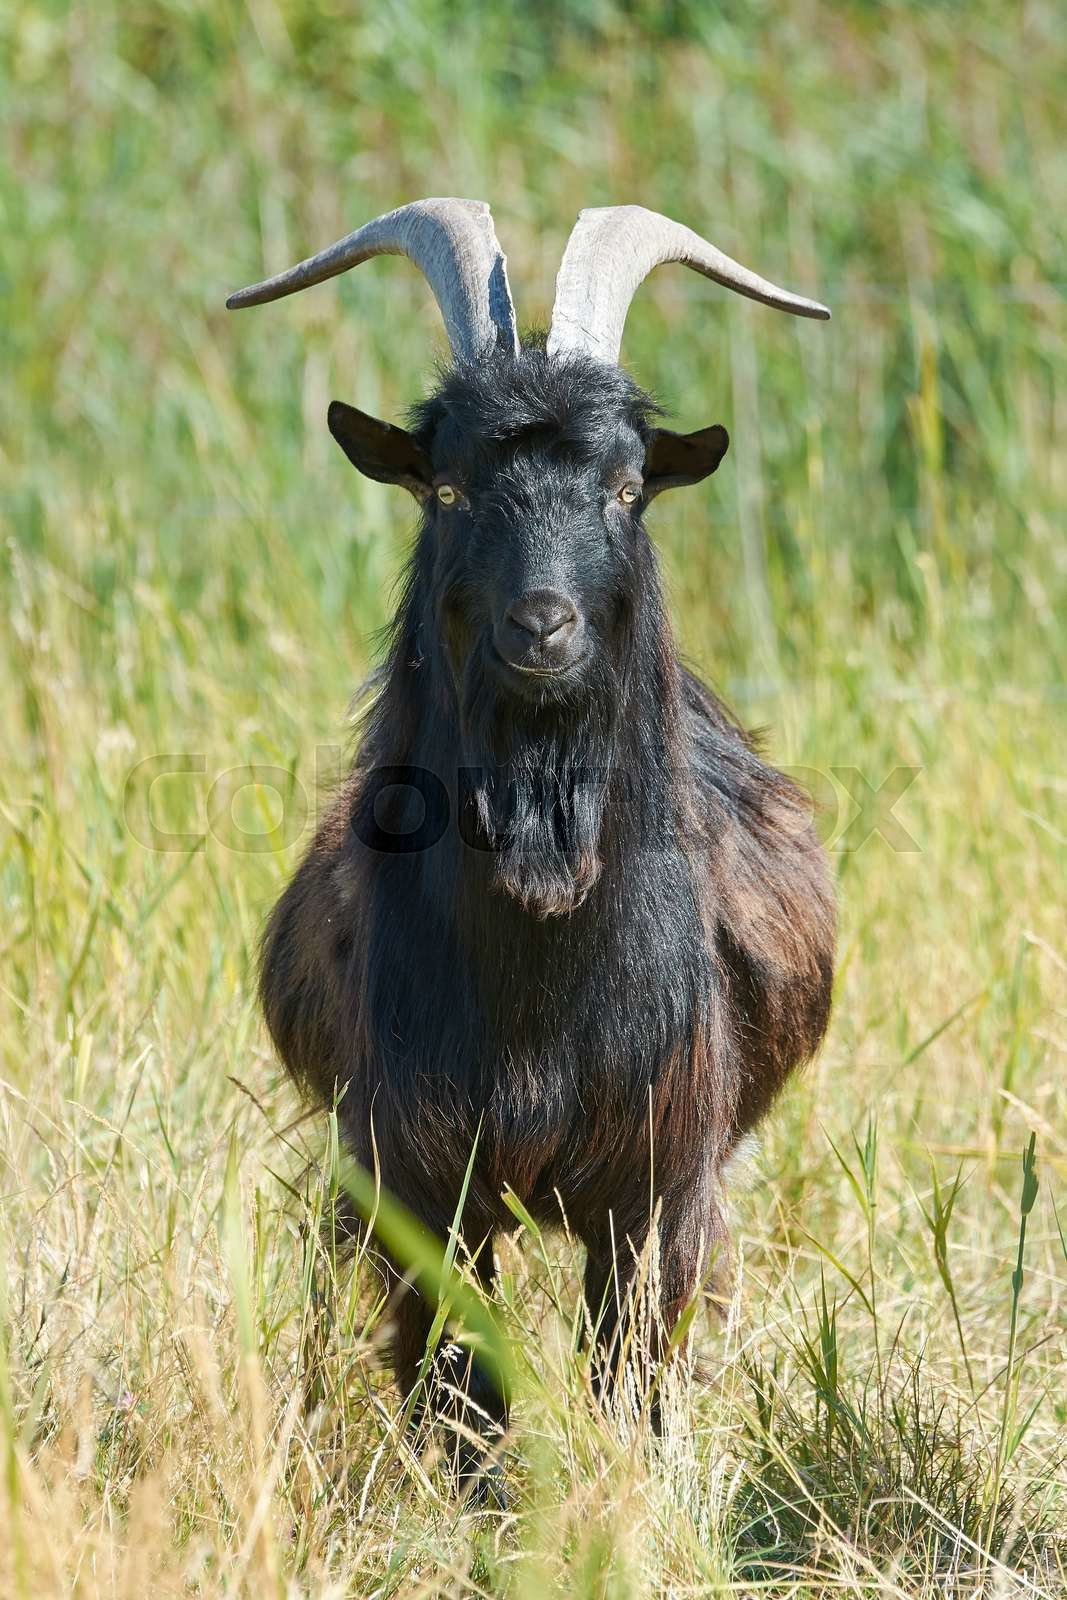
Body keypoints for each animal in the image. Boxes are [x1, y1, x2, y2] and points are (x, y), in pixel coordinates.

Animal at [228, 199, 836, 1485]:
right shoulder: (412, 1173)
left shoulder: (657, 1183)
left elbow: (626, 1376)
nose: (540, 626)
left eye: (625, 488)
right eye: (449, 489)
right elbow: (456, 1380)